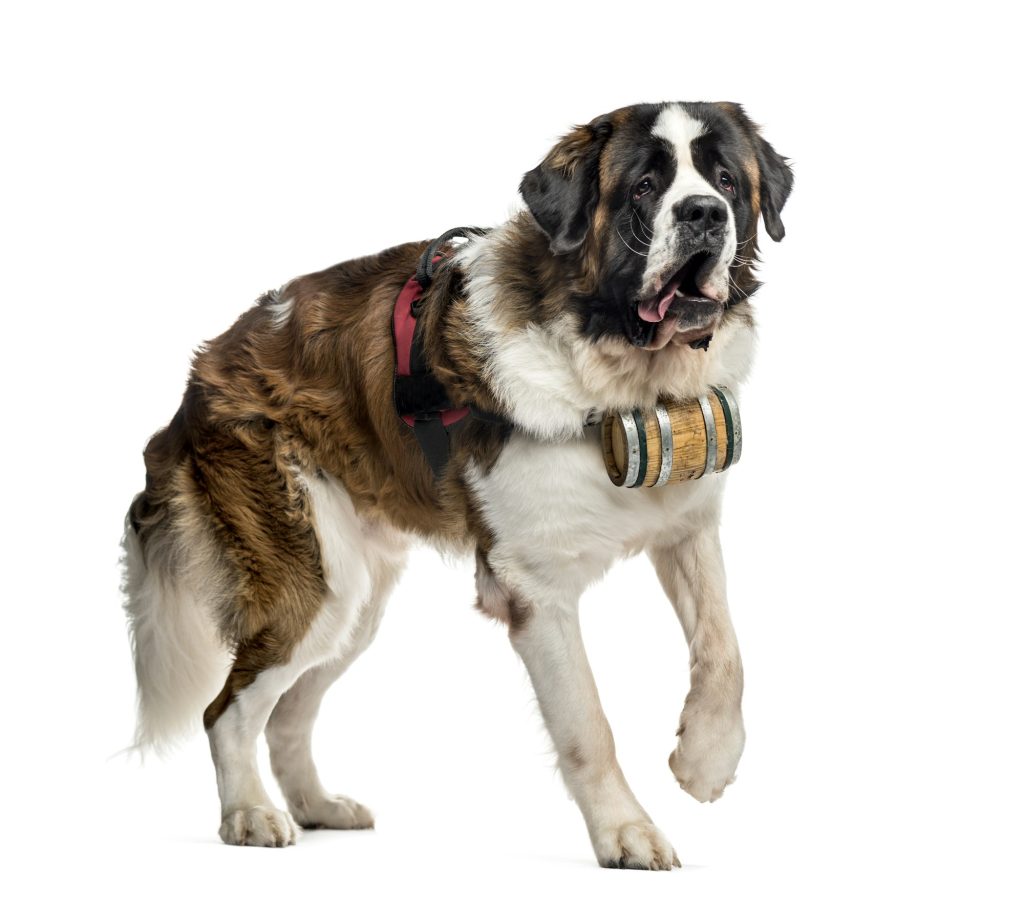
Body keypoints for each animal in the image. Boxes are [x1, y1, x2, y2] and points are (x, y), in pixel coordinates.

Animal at [121, 101, 790, 868]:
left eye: (726, 182)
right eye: (645, 187)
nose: (705, 214)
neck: (624, 382)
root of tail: (196, 383)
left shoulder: (687, 526)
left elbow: (726, 650)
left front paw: (706, 761)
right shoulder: (534, 589)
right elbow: (588, 723)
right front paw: (626, 831)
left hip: (354, 603)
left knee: (287, 710)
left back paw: (317, 805)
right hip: (311, 580)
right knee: (227, 710)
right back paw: (251, 814)